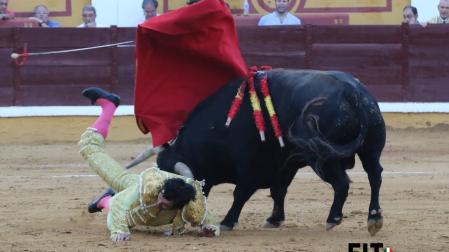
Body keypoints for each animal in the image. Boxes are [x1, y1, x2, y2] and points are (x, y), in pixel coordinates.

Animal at [153, 68, 382, 234]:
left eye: (174, 188)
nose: (160, 207)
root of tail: (350, 91)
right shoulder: (284, 165)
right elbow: (278, 191)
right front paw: (274, 219)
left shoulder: (252, 168)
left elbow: (240, 193)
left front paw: (227, 222)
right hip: (371, 149)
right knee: (375, 176)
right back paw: (374, 217)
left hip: (324, 159)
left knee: (342, 183)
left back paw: (333, 219)